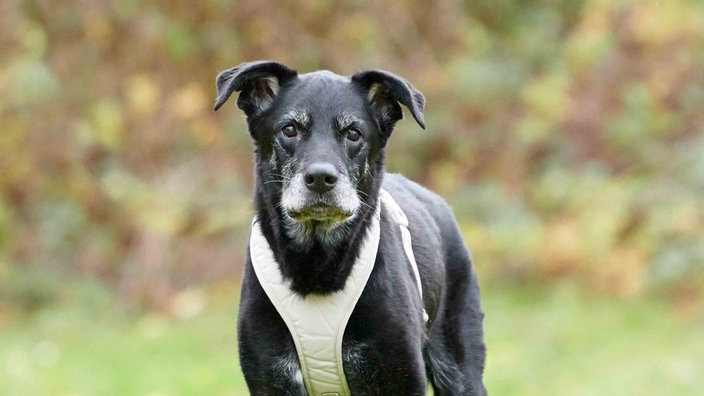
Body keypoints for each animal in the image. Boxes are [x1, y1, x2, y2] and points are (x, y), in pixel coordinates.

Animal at [214, 60, 486, 394]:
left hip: (461, 367)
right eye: (290, 129)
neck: (317, 268)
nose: (320, 178)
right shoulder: (269, 378)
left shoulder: (401, 376)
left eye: (353, 133)